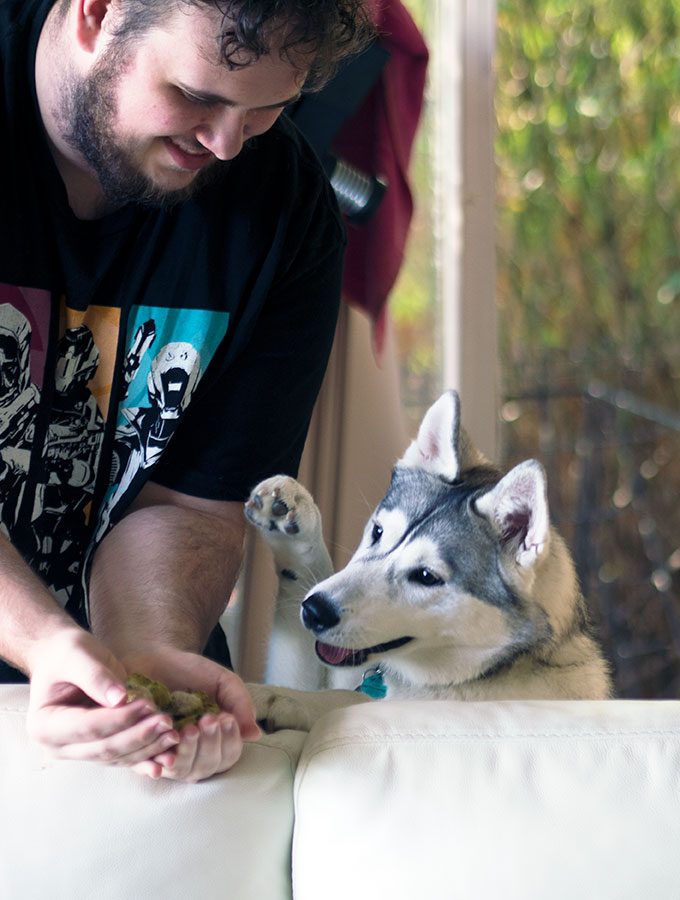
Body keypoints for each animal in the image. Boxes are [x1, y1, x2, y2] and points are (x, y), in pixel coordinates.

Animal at [244, 388, 612, 732]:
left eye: (426, 576)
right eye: (378, 531)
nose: (314, 611)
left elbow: (341, 701)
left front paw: (267, 696)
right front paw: (291, 523)